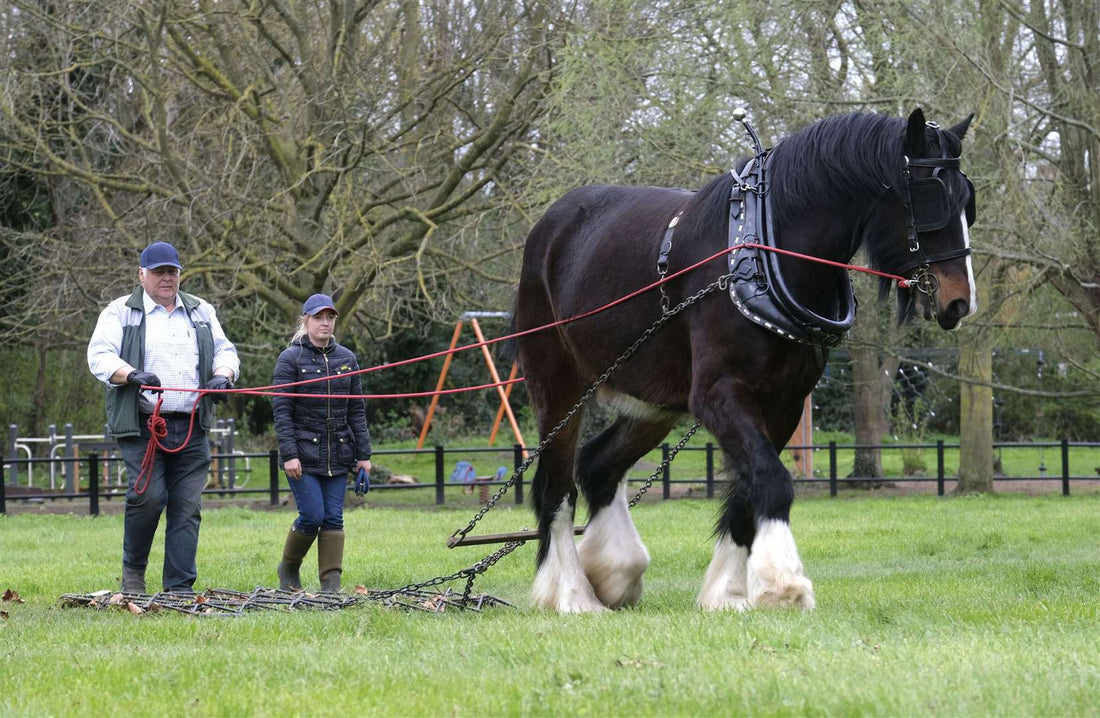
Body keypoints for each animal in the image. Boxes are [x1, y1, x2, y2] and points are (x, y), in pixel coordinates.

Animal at [511, 108, 977, 613]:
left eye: (968, 202)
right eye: (933, 198)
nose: (960, 301)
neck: (762, 252)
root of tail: (549, 226)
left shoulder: (784, 403)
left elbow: (747, 492)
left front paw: (728, 592)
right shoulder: (718, 394)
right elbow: (771, 480)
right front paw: (783, 584)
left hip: (653, 401)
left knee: (598, 465)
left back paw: (614, 572)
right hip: (559, 387)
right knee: (557, 485)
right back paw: (573, 594)